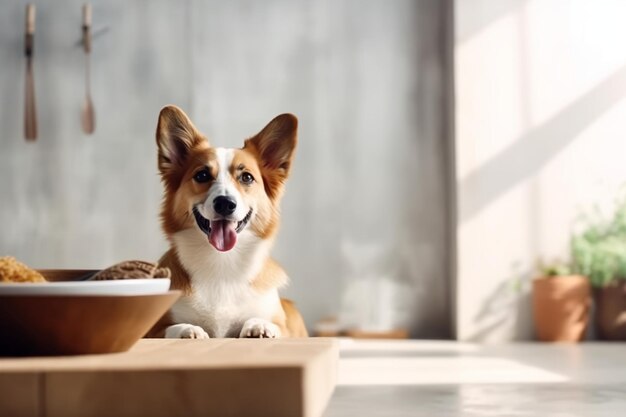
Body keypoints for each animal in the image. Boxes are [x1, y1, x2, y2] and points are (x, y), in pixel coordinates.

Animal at [149, 105, 310, 338]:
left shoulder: (285, 327)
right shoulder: (153, 328)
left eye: (247, 177)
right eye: (202, 175)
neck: (222, 262)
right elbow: (170, 328)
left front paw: (259, 326)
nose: (225, 204)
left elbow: (270, 324)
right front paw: (189, 329)